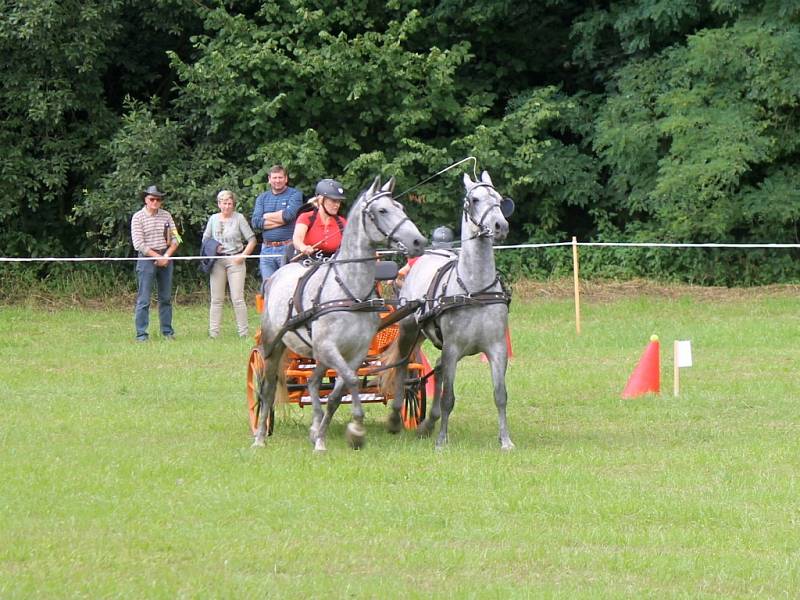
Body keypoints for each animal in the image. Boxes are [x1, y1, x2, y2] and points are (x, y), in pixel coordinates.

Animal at [253, 176, 428, 452]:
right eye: (382, 210)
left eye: (400, 207)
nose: (418, 242)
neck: (348, 289)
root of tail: (275, 276)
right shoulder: (329, 347)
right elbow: (352, 382)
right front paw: (356, 429)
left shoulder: (354, 353)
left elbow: (337, 393)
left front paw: (323, 437)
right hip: (274, 346)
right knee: (267, 388)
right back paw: (260, 436)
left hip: (318, 354)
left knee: (313, 382)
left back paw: (314, 427)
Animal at [380, 171, 516, 448]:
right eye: (474, 199)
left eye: (499, 199)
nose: (500, 226)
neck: (474, 289)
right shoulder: (453, 348)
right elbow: (448, 398)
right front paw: (442, 441)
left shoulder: (497, 348)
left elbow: (500, 395)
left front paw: (505, 440)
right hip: (410, 330)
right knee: (403, 367)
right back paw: (397, 418)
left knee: (438, 367)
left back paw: (427, 423)